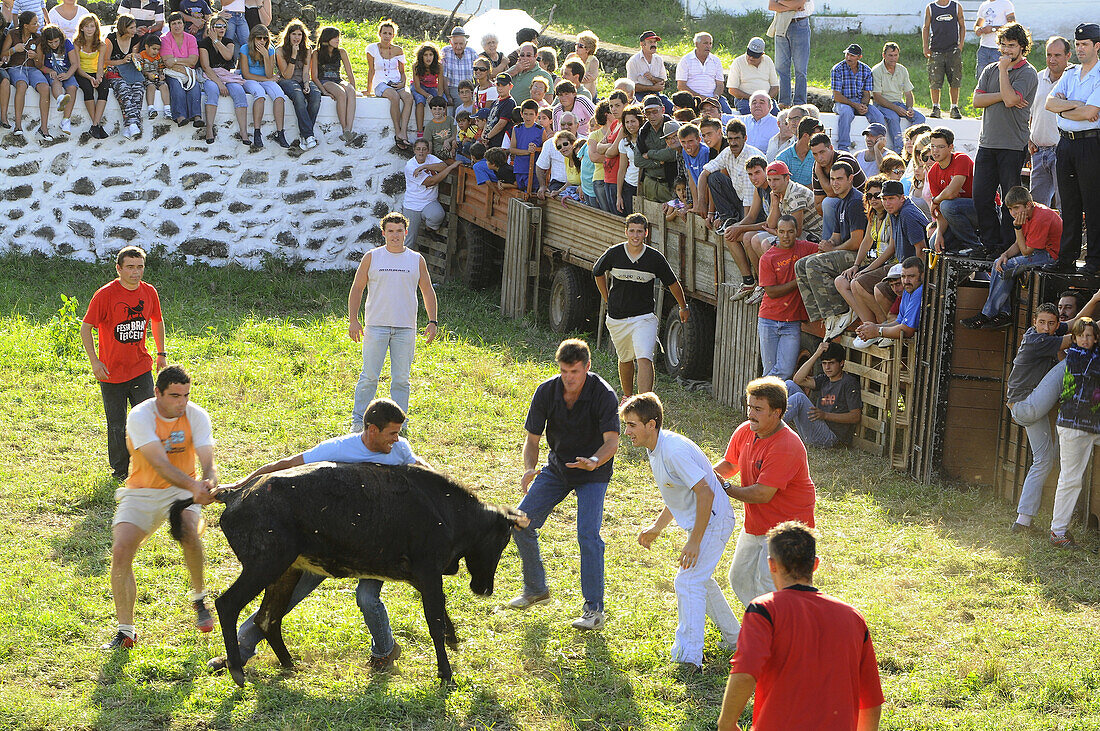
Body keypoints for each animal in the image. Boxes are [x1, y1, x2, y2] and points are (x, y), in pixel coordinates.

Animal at [169, 461, 530, 685]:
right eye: (502, 539)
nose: (485, 589)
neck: (449, 511)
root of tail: (233, 494)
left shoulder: (423, 578)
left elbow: (441, 615)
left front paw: (453, 644)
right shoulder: (428, 573)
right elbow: (435, 621)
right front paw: (445, 673)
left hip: (285, 571)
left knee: (267, 618)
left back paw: (290, 665)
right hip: (264, 565)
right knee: (228, 605)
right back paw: (237, 671)